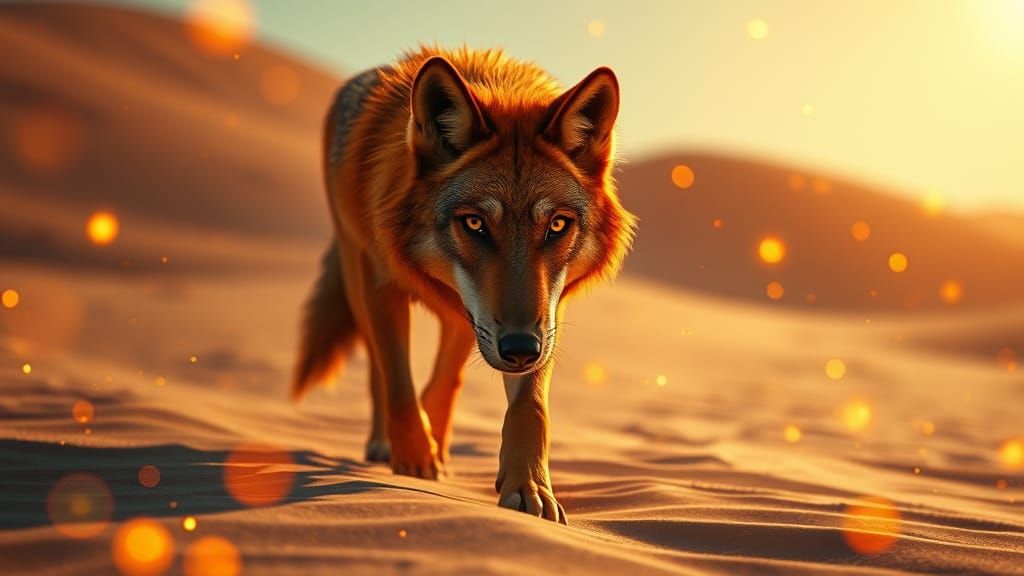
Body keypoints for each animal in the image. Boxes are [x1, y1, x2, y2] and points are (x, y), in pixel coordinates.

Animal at [292, 47, 635, 524]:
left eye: (557, 225)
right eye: (474, 223)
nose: (520, 349)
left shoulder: (547, 312)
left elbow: (530, 408)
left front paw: (529, 487)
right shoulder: (380, 283)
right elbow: (397, 381)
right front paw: (415, 460)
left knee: (447, 374)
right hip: (356, 272)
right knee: (379, 371)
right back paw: (389, 444)